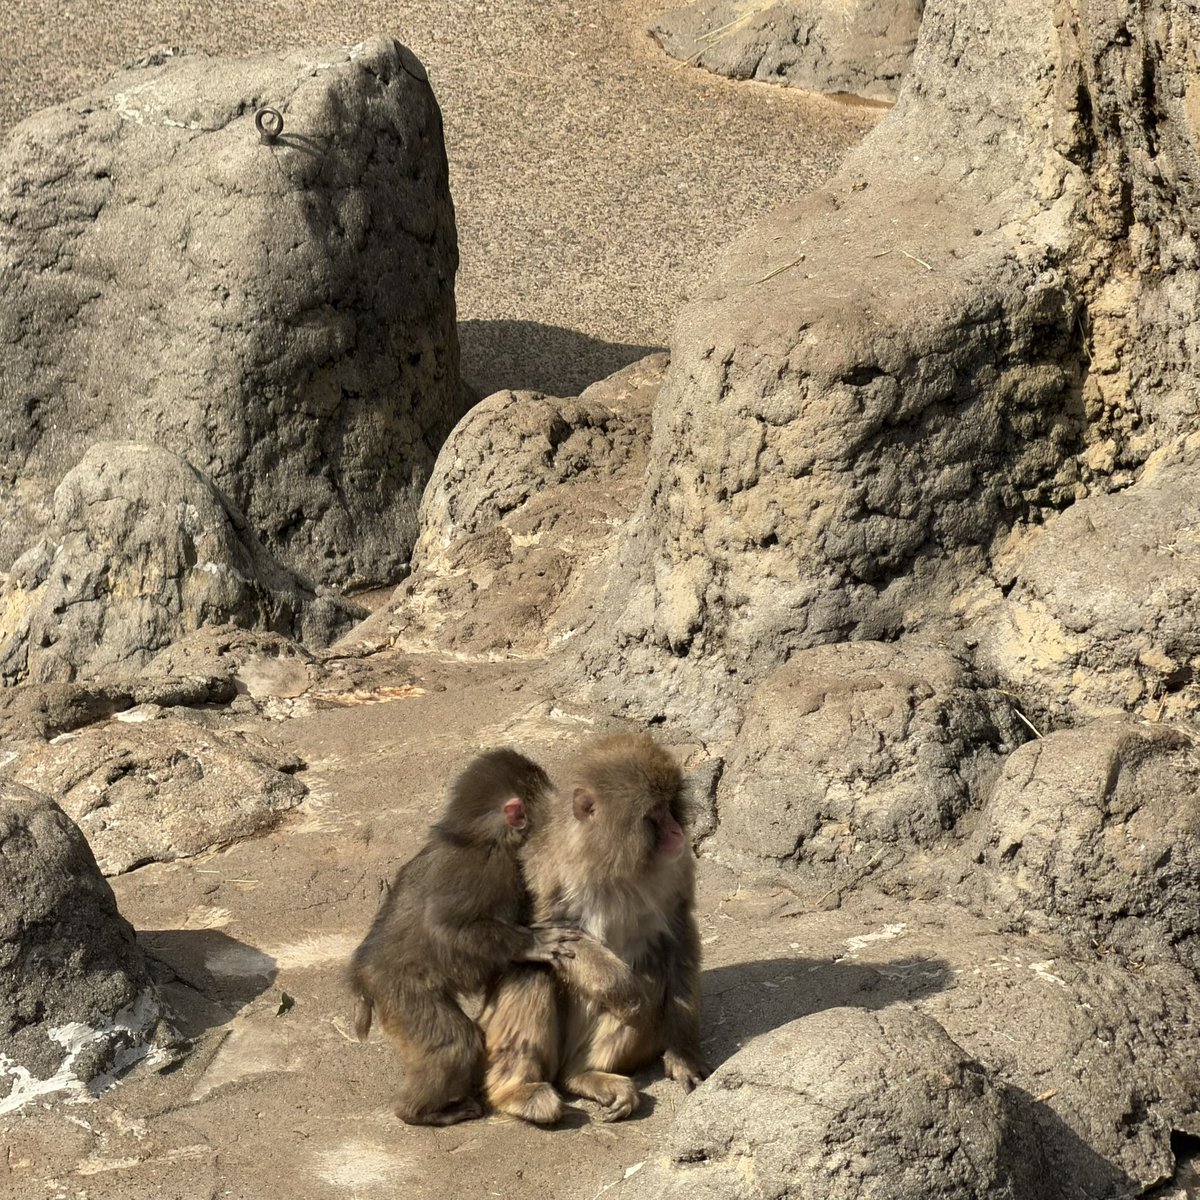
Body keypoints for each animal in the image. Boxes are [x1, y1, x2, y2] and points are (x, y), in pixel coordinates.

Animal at [349, 747, 581, 1126]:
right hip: (404, 994)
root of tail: (363, 976)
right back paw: (420, 1112)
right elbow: (448, 929)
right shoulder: (488, 868)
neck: (476, 835)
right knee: (455, 1043)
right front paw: (531, 944)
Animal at [480, 733, 710, 1124]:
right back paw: (518, 1092)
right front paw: (626, 992)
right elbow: (546, 934)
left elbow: (678, 935)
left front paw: (682, 1052)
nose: (677, 831)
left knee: (652, 969)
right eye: (654, 815)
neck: (610, 861)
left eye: (669, 807)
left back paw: (584, 1075)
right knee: (533, 972)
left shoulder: (677, 866)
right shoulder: (543, 868)